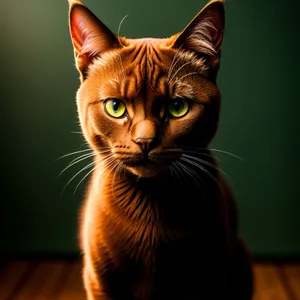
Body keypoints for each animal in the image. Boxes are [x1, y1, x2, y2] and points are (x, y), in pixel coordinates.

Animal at [68, 0, 253, 298]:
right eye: (115, 107)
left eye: (178, 107)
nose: (145, 141)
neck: (150, 206)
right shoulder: (99, 281)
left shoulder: (212, 277)